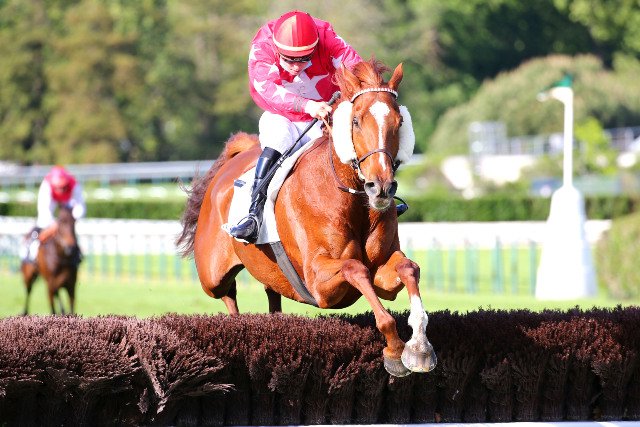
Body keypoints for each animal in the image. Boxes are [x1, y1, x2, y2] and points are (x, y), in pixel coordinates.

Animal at [177, 59, 436, 377]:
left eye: (399, 122)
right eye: (356, 121)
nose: (382, 187)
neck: (349, 196)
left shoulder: (383, 270)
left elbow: (408, 268)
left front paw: (420, 347)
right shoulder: (318, 282)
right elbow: (355, 269)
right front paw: (395, 350)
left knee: (271, 293)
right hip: (211, 276)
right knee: (227, 292)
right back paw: (238, 327)